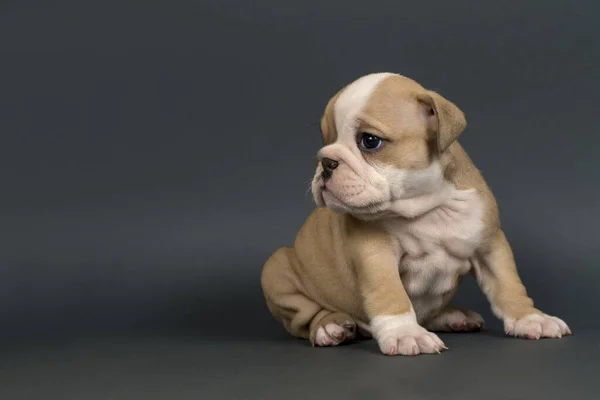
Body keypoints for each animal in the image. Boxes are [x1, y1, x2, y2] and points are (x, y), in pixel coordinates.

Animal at [260, 72, 568, 356]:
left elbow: (508, 284)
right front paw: (405, 334)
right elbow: (390, 294)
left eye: (369, 141)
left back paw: (452, 315)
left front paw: (531, 318)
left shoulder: (490, 244)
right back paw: (331, 326)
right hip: (277, 268)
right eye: (326, 139)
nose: (325, 161)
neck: (428, 206)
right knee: (306, 317)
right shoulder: (375, 254)